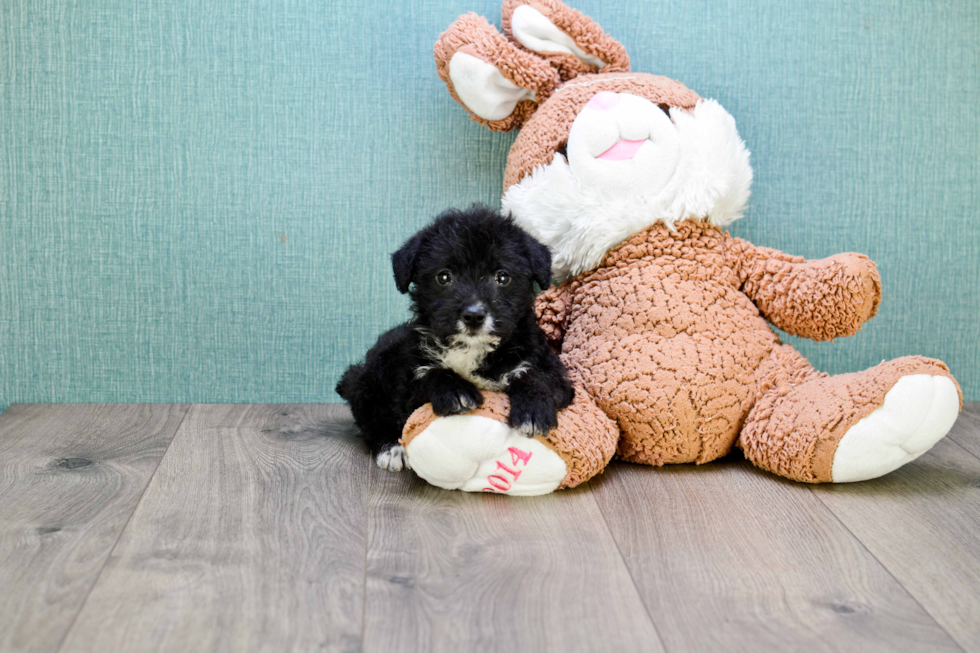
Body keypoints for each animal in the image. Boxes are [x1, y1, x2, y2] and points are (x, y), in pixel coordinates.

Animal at [336, 204, 576, 468]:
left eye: (502, 277)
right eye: (444, 276)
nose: (474, 315)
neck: (471, 348)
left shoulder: (550, 367)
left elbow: (536, 375)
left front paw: (533, 410)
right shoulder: (407, 378)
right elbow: (428, 374)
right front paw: (456, 391)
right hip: (372, 379)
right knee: (371, 419)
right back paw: (391, 449)